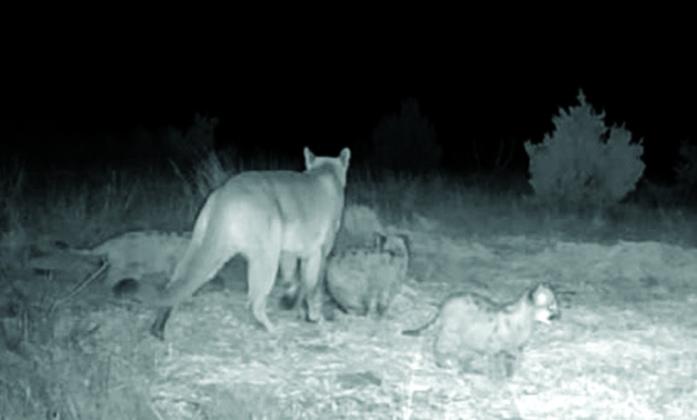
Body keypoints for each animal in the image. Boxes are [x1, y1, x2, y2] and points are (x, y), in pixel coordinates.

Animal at [114, 147, 351, 339]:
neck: (326, 172)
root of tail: (225, 193)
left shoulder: (290, 252)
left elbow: (293, 280)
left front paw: (292, 304)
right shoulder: (319, 252)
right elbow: (313, 286)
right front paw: (314, 317)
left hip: (205, 250)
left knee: (175, 285)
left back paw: (158, 329)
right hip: (266, 256)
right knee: (254, 301)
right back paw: (272, 329)